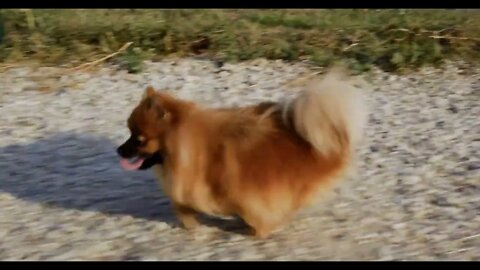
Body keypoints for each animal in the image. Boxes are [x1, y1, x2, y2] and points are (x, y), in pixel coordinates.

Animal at [116, 68, 368, 239]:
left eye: (138, 139)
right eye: (129, 133)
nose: (119, 150)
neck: (188, 148)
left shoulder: (243, 192)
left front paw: (254, 230)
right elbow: (181, 205)